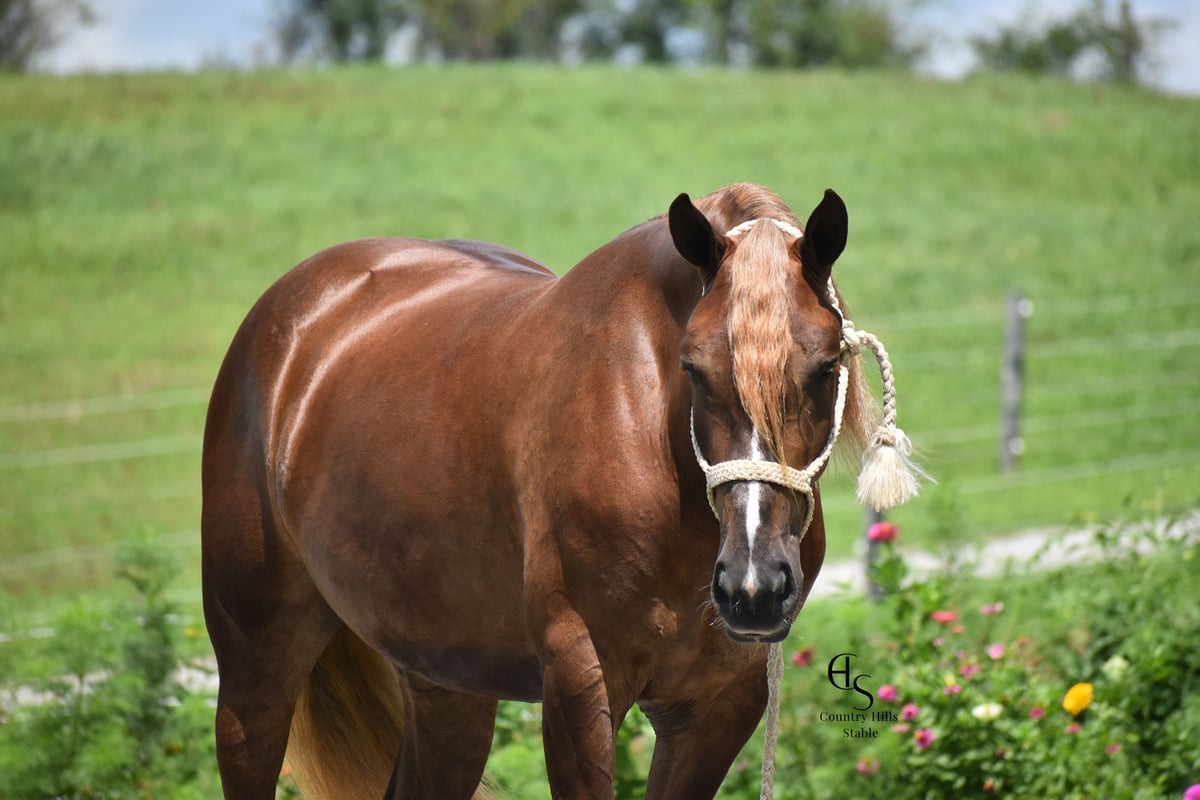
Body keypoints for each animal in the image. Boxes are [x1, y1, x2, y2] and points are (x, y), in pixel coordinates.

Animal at [201, 182, 918, 799]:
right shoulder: (580, 684)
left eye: (826, 367)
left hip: (447, 686)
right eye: (693, 367)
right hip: (254, 666)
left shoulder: (719, 706)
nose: (752, 588)